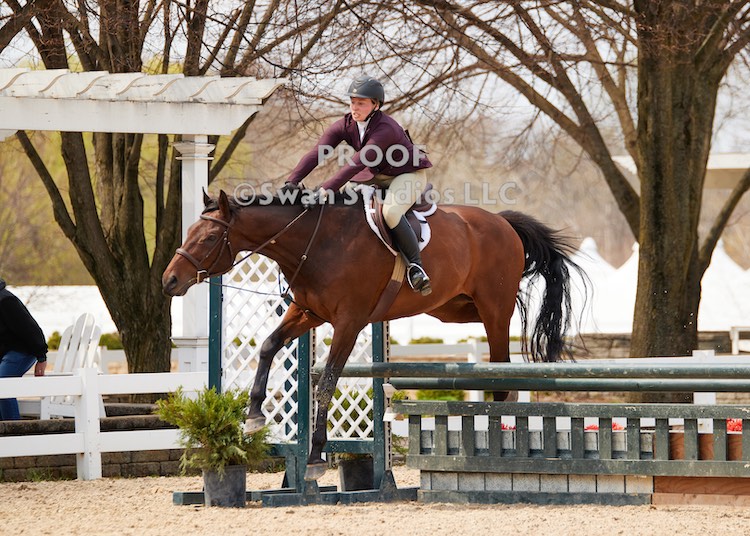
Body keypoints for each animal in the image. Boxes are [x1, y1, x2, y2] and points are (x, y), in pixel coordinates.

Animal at [162, 189, 584, 480]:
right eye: (190, 232)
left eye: (208, 239)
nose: (169, 281)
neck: (315, 243)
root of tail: (502, 222)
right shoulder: (307, 313)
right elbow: (267, 346)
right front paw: (253, 417)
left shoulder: (349, 322)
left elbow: (326, 383)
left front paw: (314, 457)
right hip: (454, 310)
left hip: (495, 312)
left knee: (500, 374)